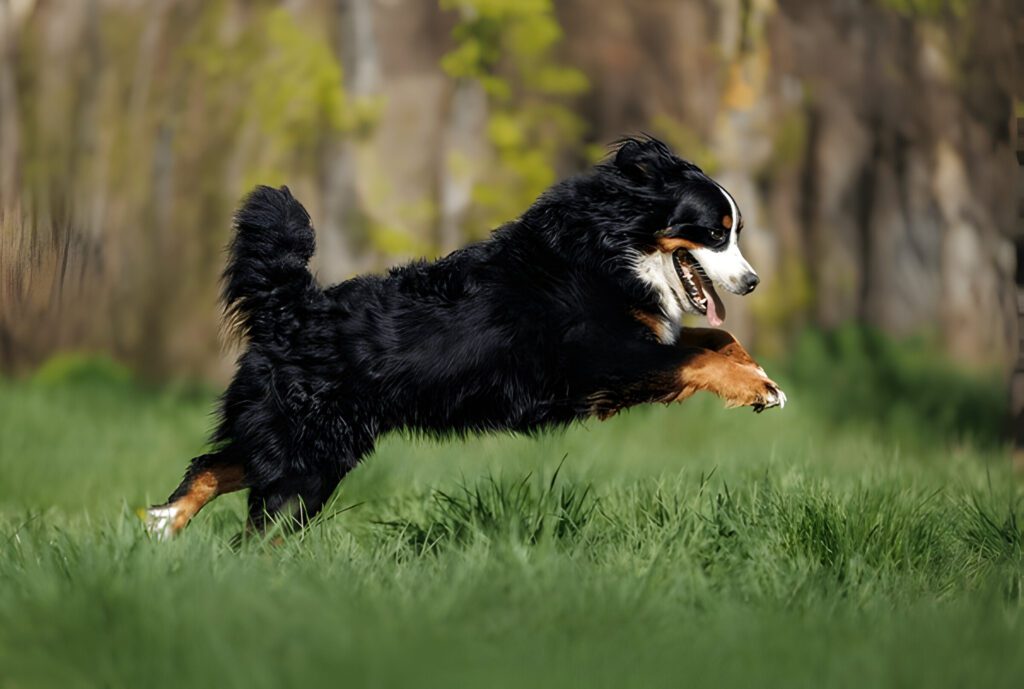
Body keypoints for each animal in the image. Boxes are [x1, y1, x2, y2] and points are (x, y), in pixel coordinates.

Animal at [142, 134, 782, 536]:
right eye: (716, 232)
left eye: (734, 231)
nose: (753, 282)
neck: (609, 248)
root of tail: (292, 309)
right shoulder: (608, 360)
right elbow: (698, 358)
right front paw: (758, 390)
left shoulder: (639, 345)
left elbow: (716, 341)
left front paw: (762, 378)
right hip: (309, 461)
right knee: (256, 533)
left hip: (300, 445)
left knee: (210, 466)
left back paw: (162, 526)